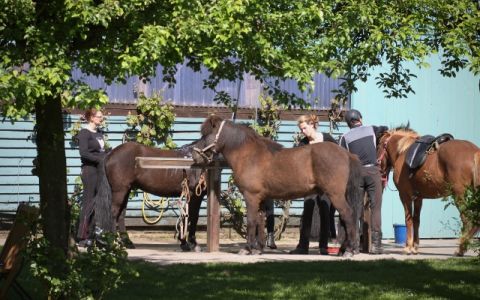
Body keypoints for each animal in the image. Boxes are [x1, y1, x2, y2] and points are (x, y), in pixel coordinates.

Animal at [190, 115, 360, 255]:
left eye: (206, 134)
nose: (194, 154)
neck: (249, 155)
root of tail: (346, 154)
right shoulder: (260, 198)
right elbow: (260, 221)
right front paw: (258, 249)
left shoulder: (251, 196)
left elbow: (251, 221)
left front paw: (247, 249)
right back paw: (345, 249)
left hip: (335, 195)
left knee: (348, 215)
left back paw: (349, 250)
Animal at [378, 127, 480, 255]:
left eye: (378, 145)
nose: (378, 168)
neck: (402, 152)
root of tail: (474, 151)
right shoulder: (418, 198)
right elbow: (416, 220)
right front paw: (415, 247)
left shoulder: (405, 195)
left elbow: (408, 219)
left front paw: (407, 247)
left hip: (459, 195)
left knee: (467, 220)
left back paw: (460, 249)